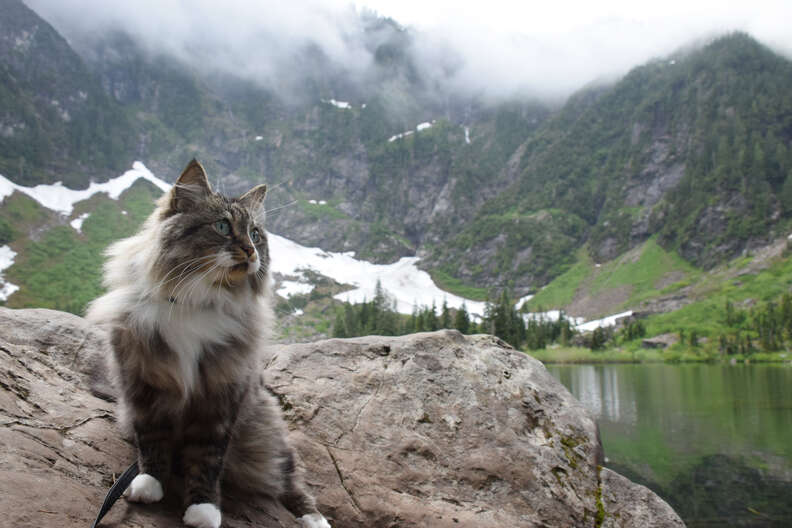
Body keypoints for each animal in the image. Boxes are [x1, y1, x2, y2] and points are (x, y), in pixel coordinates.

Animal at [86, 160, 332, 528]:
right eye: (222, 226)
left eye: (255, 234)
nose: (251, 251)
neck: (195, 301)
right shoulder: (144, 384)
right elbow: (151, 442)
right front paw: (149, 483)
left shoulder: (220, 397)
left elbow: (207, 461)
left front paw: (203, 509)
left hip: (265, 437)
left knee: (291, 479)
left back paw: (314, 518)